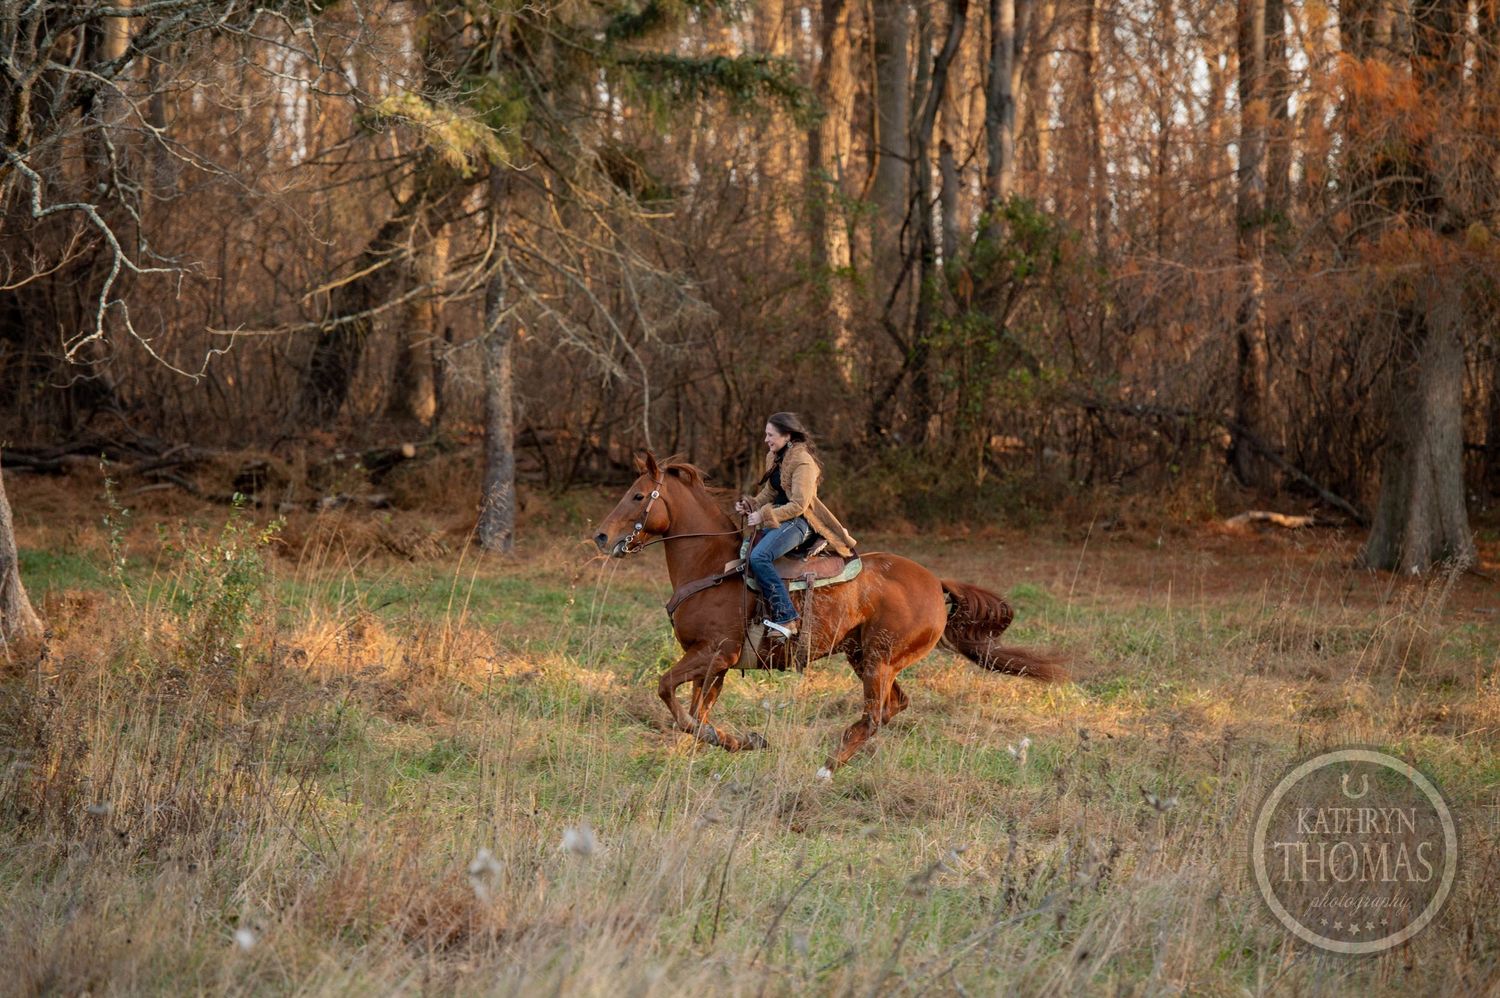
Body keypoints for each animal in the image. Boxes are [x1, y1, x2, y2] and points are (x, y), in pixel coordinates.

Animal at [591, 452, 1067, 778]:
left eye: (638, 495)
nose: (601, 536)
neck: (710, 564)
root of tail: (935, 583)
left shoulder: (713, 654)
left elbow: (669, 694)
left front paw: (732, 739)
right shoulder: (714, 664)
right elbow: (696, 713)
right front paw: (736, 741)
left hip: (879, 660)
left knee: (876, 713)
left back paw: (826, 767)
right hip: (865, 657)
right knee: (894, 706)